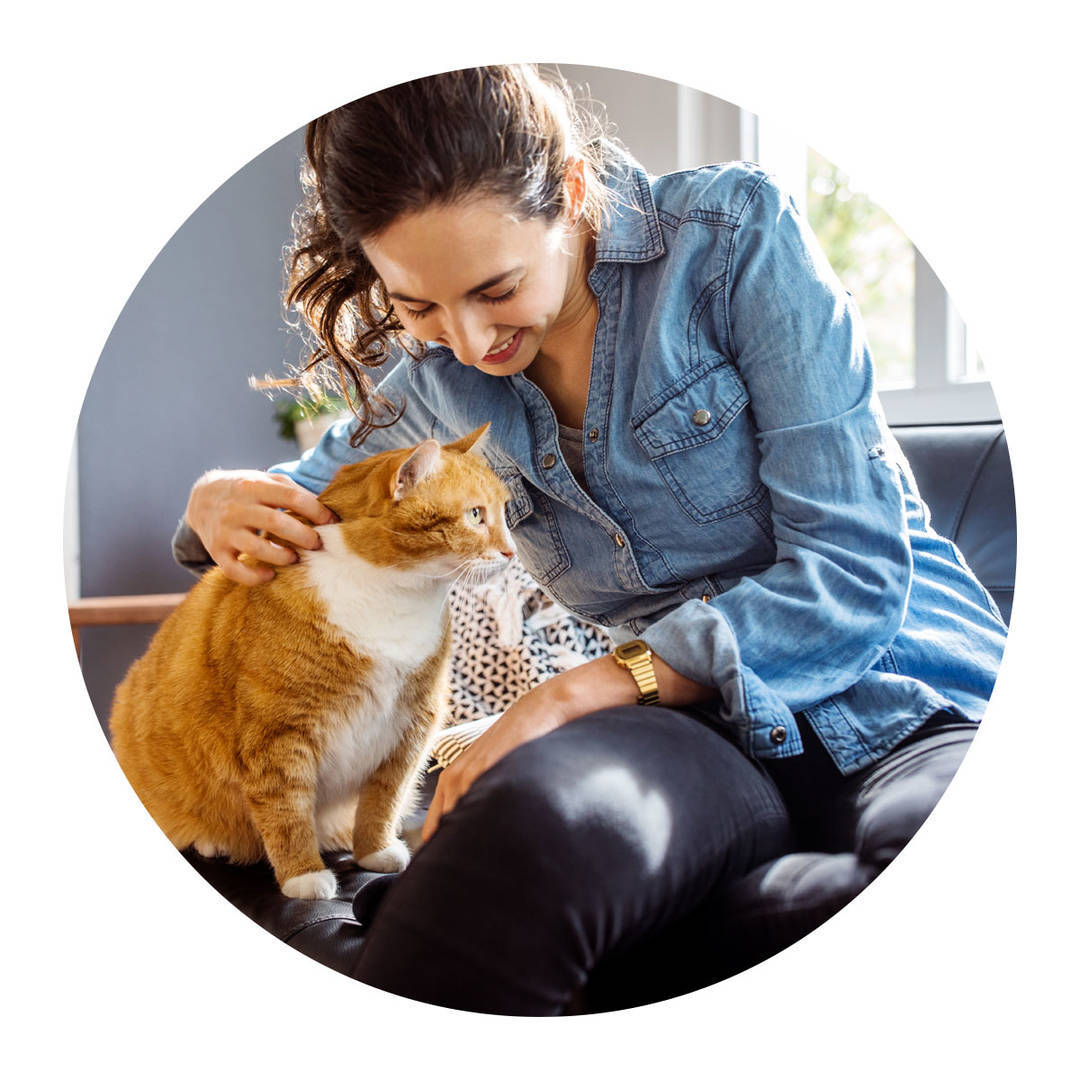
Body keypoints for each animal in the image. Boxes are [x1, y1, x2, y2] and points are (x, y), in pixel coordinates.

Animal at [107, 425, 511, 898]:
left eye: (504, 513)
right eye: (476, 515)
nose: (510, 553)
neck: (393, 598)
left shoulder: (411, 727)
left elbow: (384, 798)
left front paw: (374, 851)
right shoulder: (279, 733)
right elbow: (287, 810)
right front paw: (303, 875)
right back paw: (213, 842)